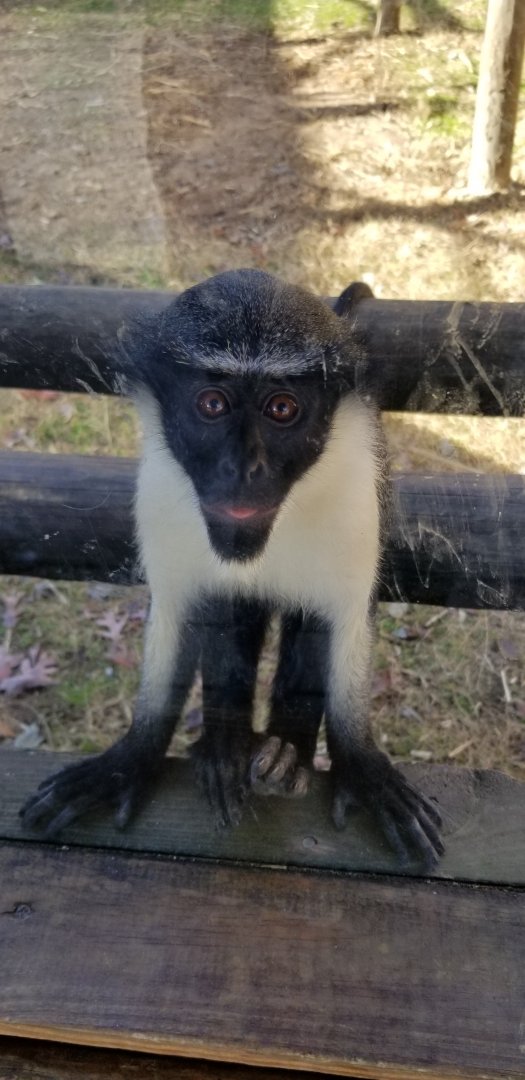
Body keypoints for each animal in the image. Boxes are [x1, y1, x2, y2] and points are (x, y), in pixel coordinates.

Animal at [20, 269, 443, 869]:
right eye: (212, 404)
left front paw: (362, 767)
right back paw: (225, 747)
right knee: (228, 607)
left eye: (283, 409)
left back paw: (286, 752)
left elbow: (340, 623)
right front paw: (131, 758)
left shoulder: (359, 499)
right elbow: (184, 613)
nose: (244, 468)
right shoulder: (162, 498)